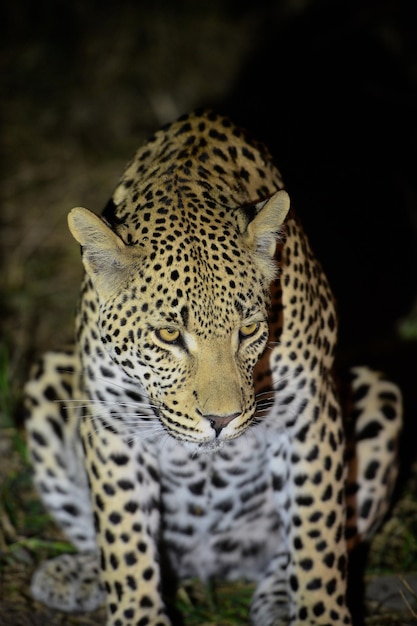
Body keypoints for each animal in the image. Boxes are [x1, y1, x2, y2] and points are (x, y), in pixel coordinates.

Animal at [24, 109, 402, 620]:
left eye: (248, 330)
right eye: (168, 335)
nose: (221, 422)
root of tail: (204, 566)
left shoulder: (310, 417)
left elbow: (317, 539)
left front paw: (319, 613)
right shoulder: (112, 425)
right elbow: (122, 540)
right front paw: (137, 613)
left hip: (378, 395)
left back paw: (277, 602)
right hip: (48, 382)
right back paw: (77, 575)